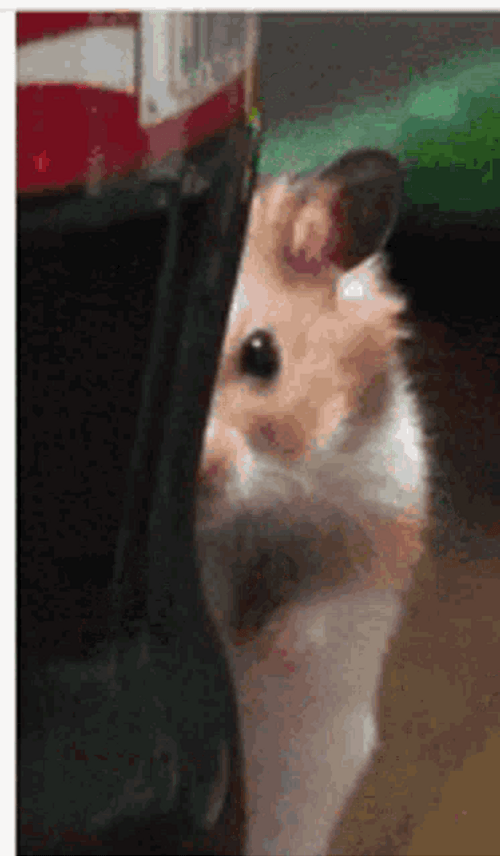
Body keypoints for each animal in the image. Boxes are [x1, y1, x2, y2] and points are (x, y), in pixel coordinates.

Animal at [195, 149, 429, 856]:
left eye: (263, 354)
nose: (203, 479)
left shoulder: (381, 508)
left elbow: (320, 606)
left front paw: (267, 648)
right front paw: (238, 644)